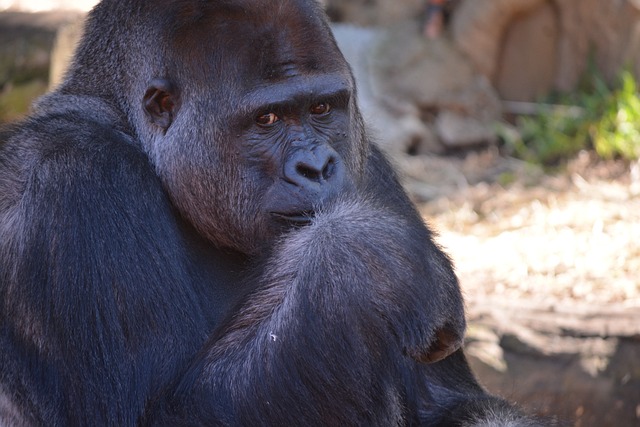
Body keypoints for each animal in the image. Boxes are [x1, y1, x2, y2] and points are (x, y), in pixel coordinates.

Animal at [0, 0, 552, 426]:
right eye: (267, 119)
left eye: (322, 109)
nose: (317, 167)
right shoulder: (73, 175)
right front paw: (363, 257)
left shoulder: (367, 160)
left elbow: (458, 405)